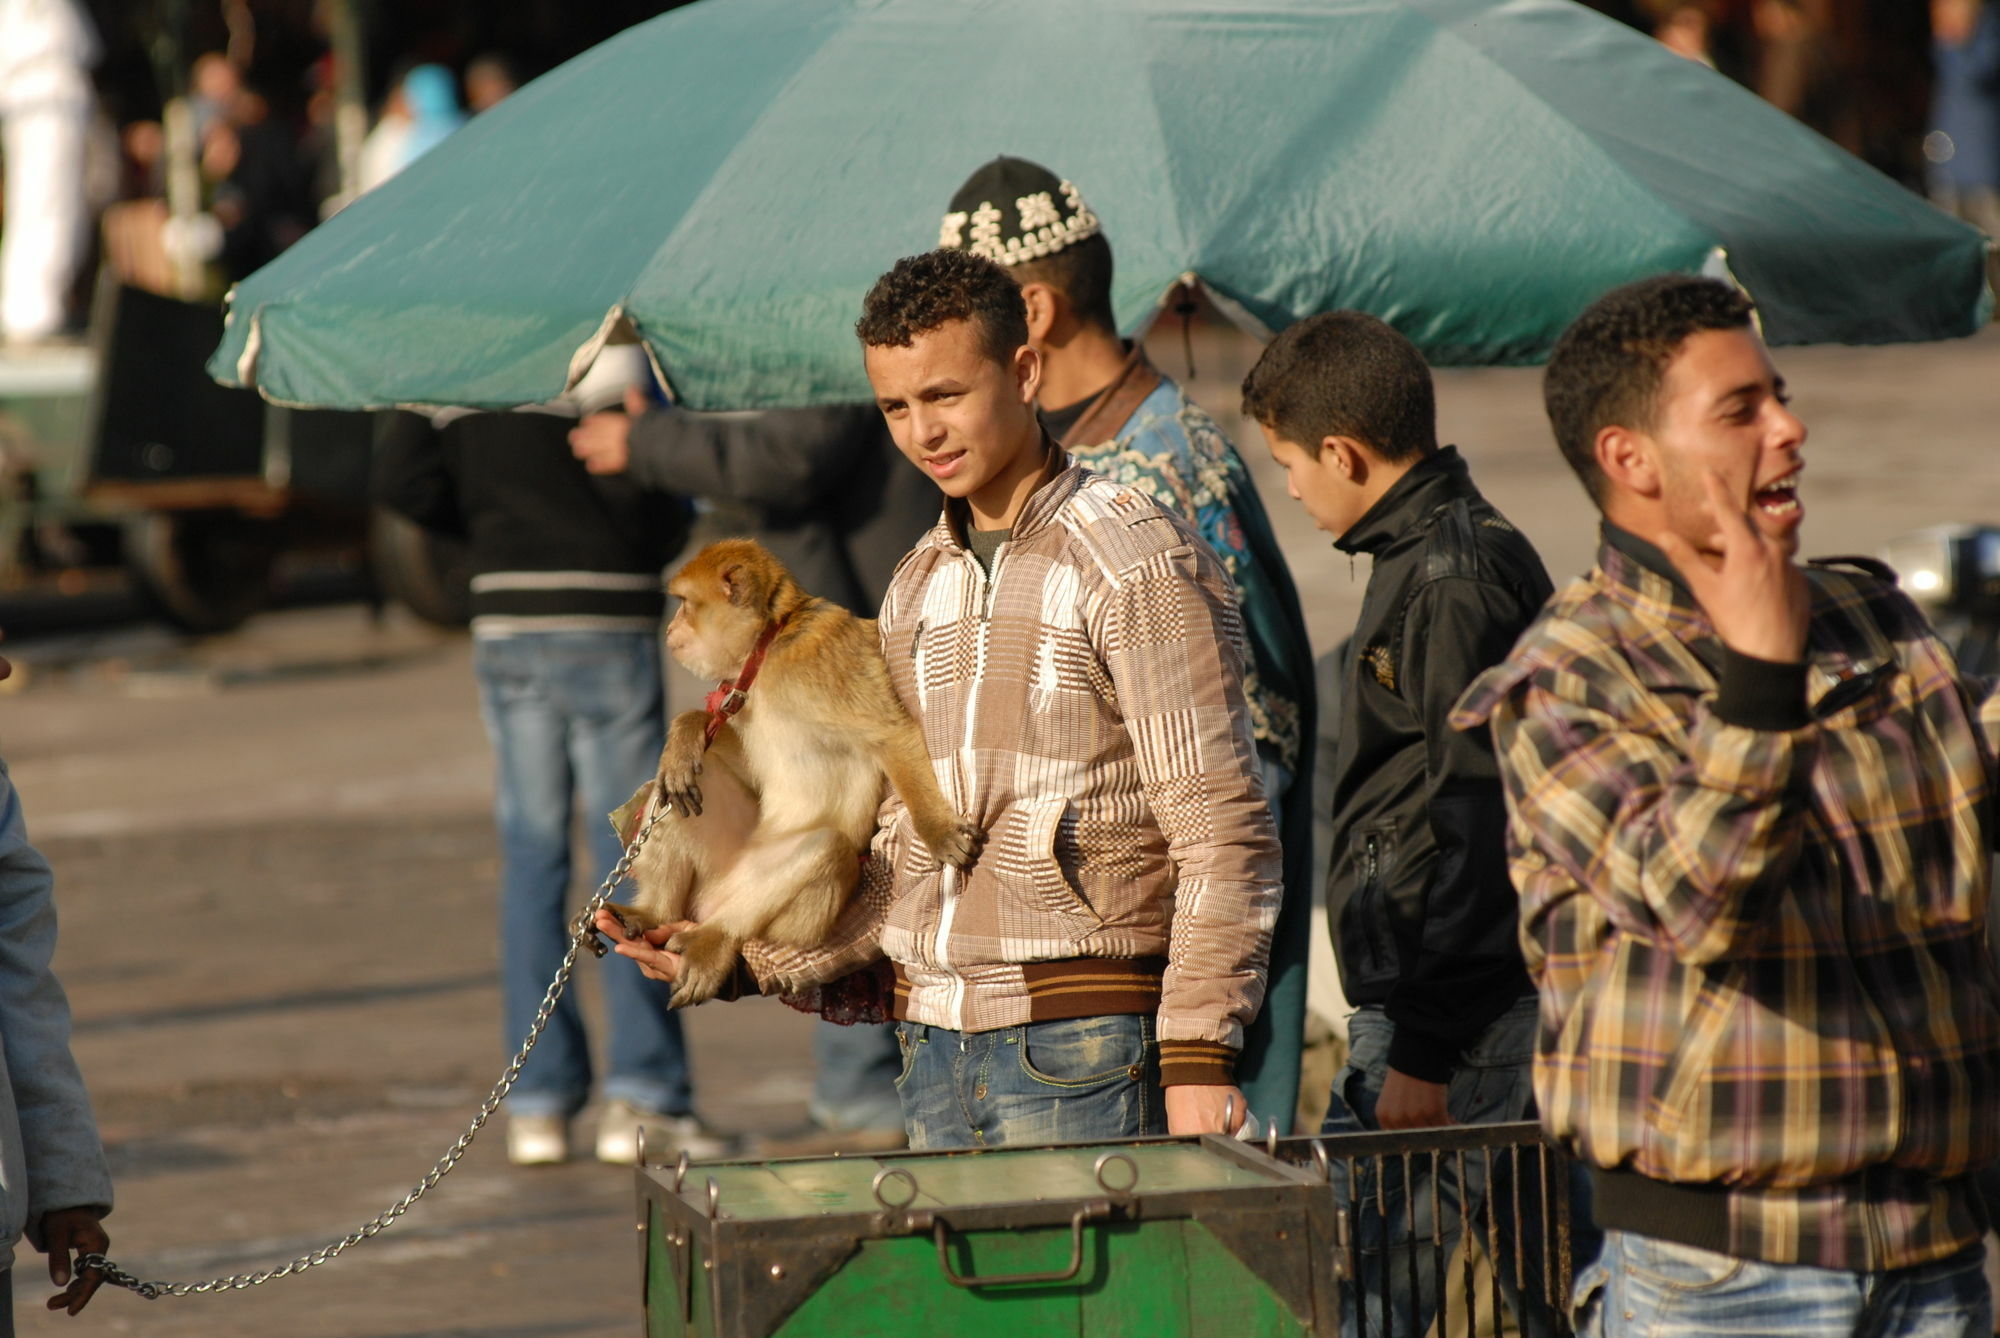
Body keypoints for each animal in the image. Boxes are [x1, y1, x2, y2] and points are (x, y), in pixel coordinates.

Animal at [608, 536, 984, 1000]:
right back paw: (653, 913)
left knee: (826, 848)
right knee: (674, 791)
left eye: (683, 605)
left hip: (792, 921)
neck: (771, 644)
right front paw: (686, 735)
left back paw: (716, 936)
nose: (669, 630)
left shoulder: (824, 659)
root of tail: (711, 903)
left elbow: (890, 734)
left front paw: (937, 830)